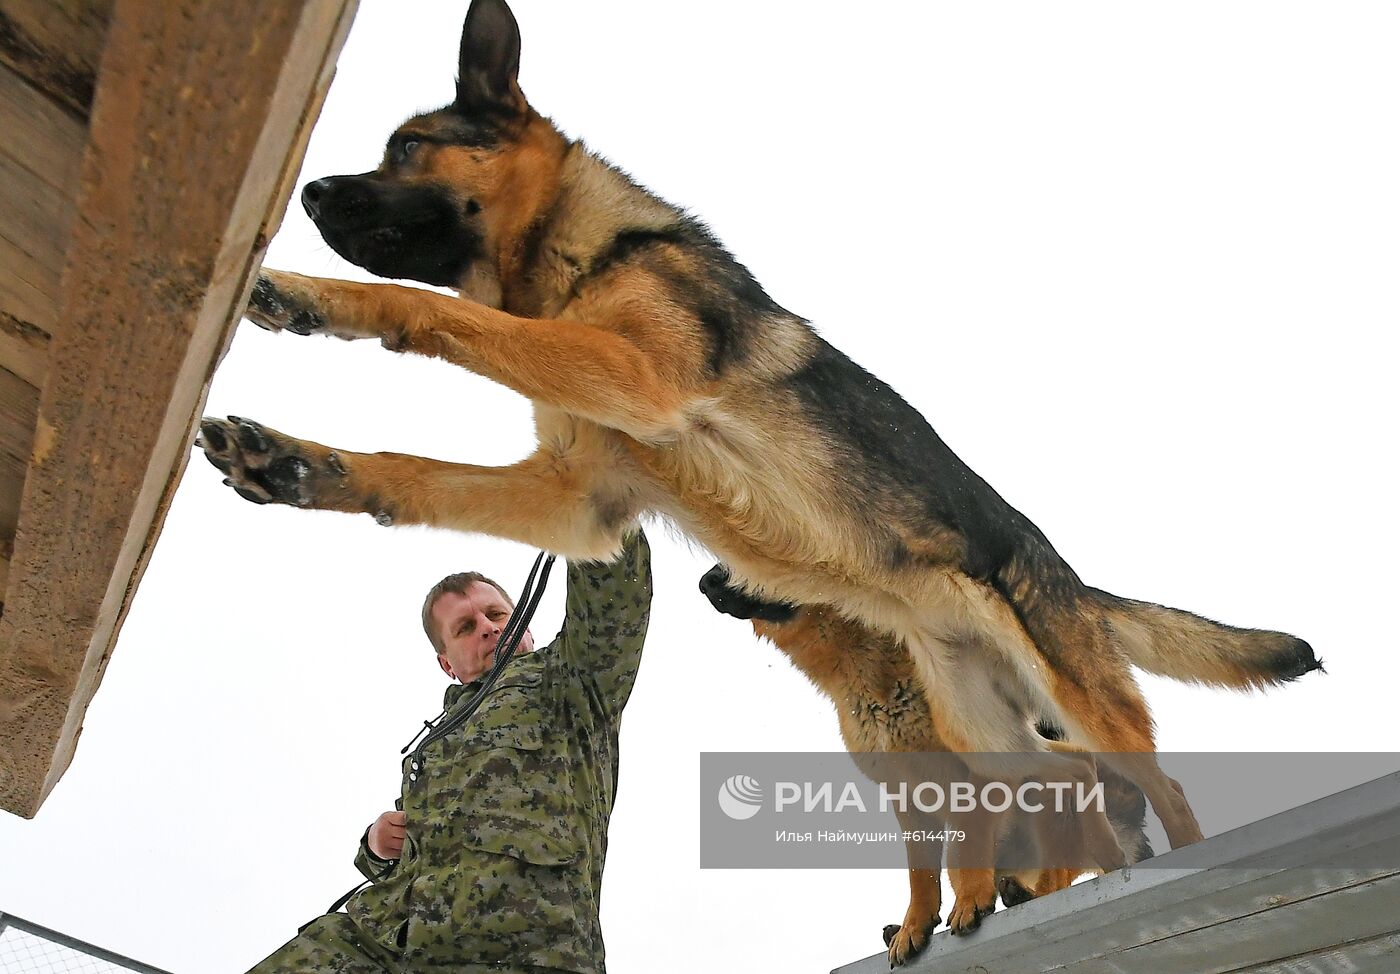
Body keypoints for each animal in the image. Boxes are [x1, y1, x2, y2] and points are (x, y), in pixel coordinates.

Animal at [200, 0, 1321, 906]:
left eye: (407, 146)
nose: (307, 195)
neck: (587, 255)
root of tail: (1069, 581)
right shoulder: (576, 499)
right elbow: (414, 474)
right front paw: (289, 461)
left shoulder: (629, 377)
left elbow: (439, 313)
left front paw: (305, 293)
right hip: (980, 729)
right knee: (1046, 802)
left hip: (1079, 701)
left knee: (1159, 787)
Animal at [697, 562, 1148, 957]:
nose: (706, 582)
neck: (870, 675)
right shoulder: (906, 795)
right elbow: (920, 874)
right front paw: (915, 926)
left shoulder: (976, 776)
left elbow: (967, 852)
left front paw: (970, 902)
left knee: (1058, 869)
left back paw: (1025, 894)